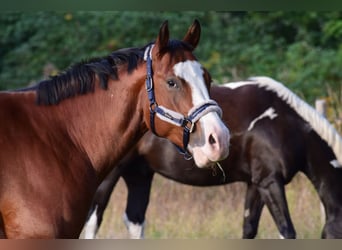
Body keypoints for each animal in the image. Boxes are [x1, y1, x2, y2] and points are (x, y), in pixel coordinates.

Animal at [83, 76, 342, 238]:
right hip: (110, 176)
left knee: (135, 221)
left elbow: (249, 229)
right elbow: (287, 231)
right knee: (92, 221)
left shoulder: (256, 184)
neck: (286, 123)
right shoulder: (270, 182)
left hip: (139, 174)